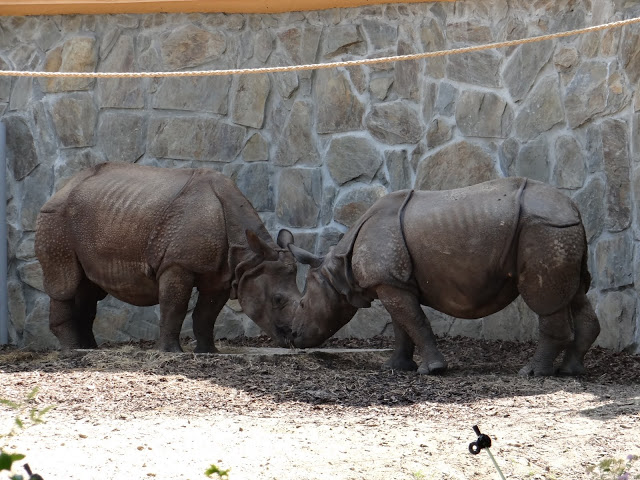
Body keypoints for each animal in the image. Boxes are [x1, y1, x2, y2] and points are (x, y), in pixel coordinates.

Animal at [35, 162, 300, 352]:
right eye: (277, 299)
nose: (298, 338)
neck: (250, 255)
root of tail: (62, 188)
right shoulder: (177, 264)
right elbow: (175, 307)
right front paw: (172, 352)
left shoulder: (223, 273)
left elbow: (207, 313)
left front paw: (208, 352)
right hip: (56, 218)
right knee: (66, 283)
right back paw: (72, 351)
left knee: (87, 286)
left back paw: (90, 349)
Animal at [287, 177, 600, 376]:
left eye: (302, 305)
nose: (292, 337)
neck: (338, 269)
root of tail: (573, 208)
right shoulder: (395, 282)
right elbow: (402, 326)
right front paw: (394, 367)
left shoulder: (389, 282)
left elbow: (415, 322)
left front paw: (433, 371)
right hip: (561, 231)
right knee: (575, 294)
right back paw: (570, 371)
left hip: (545, 229)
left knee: (545, 300)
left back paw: (532, 373)